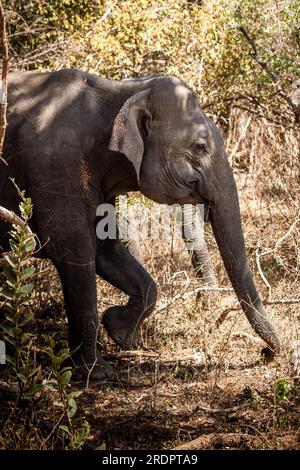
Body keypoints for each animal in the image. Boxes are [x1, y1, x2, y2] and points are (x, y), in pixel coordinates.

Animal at [0, 69, 282, 378]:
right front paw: (97, 373)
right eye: (200, 146)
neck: (123, 90)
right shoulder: (56, 169)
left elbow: (106, 249)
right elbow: (73, 250)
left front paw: (119, 332)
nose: (267, 353)